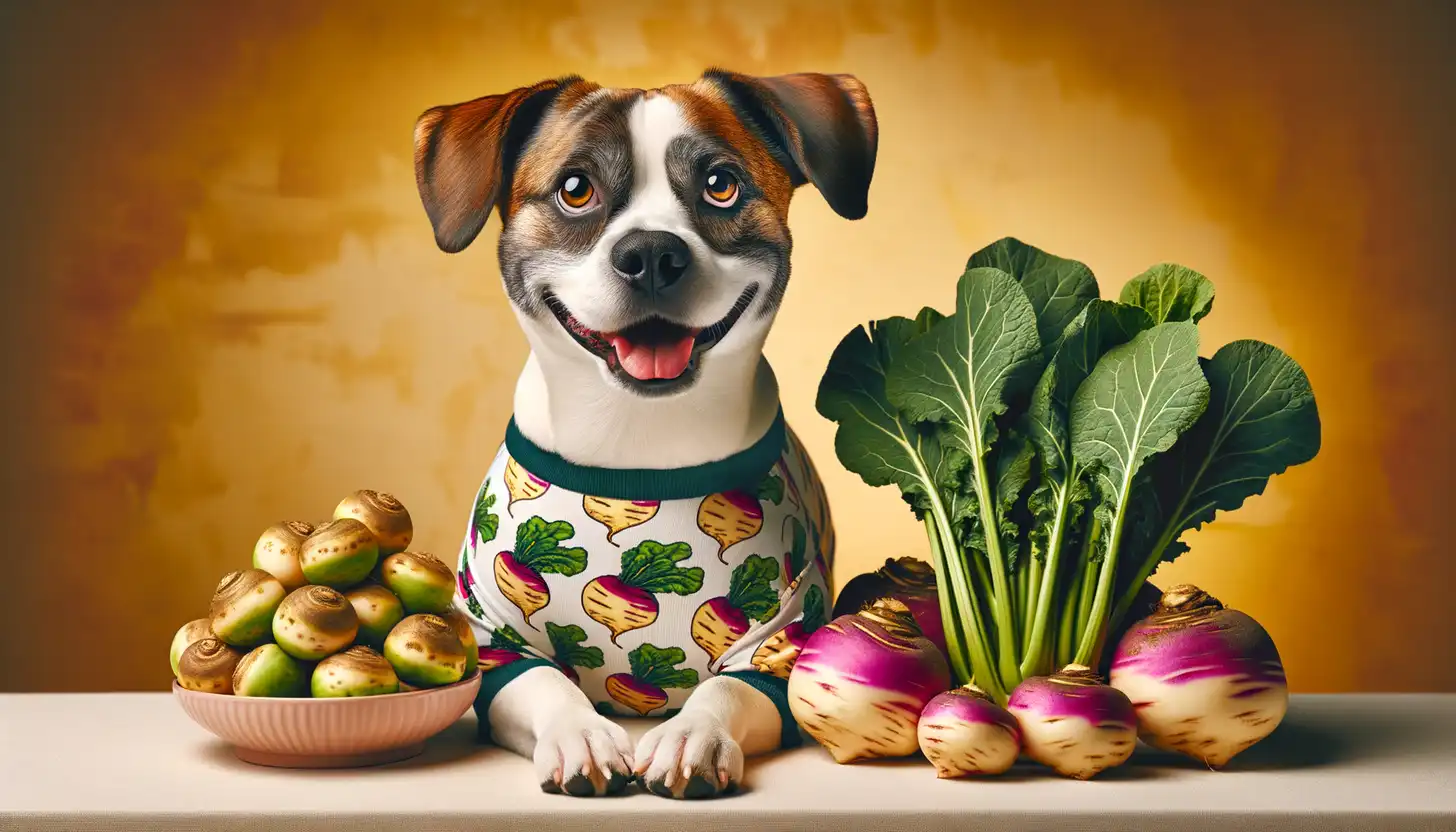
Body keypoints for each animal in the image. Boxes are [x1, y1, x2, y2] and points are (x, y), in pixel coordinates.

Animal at [416, 68, 873, 798]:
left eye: (721, 184)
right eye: (576, 189)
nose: (652, 252)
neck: (639, 440)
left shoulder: (778, 644)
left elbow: (724, 692)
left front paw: (691, 737)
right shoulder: (494, 643)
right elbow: (545, 685)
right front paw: (580, 736)